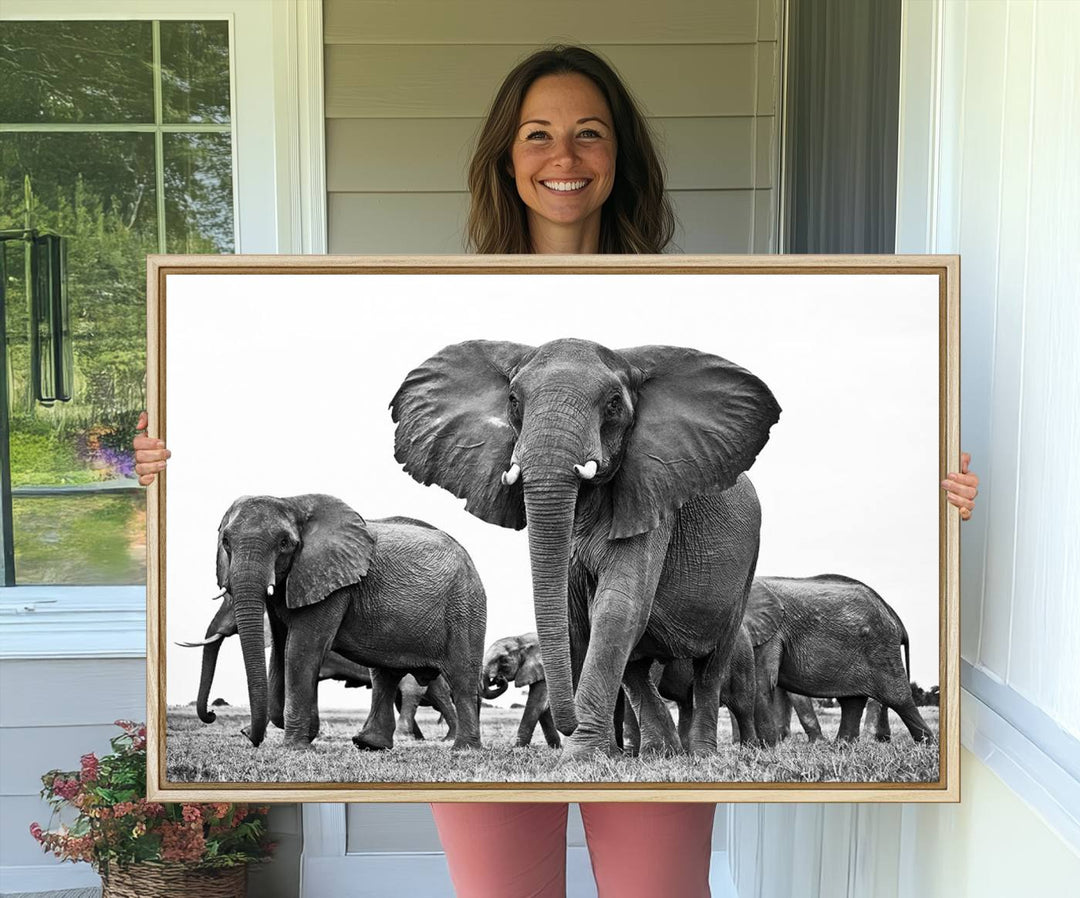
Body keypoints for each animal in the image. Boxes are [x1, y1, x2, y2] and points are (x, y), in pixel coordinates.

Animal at [214, 499, 486, 752]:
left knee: (461, 677)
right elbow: (282, 649)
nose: (250, 737)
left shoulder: (332, 583)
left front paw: (297, 747)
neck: (294, 504)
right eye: (225, 541)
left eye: (283, 543)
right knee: (385, 675)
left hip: (464, 607)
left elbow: (301, 650)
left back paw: (463, 748)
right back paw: (369, 744)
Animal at [393, 341, 781, 756]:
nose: (571, 722)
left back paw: (699, 752)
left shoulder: (652, 498)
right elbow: (575, 616)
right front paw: (601, 752)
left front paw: (582, 755)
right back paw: (660, 751)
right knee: (637, 668)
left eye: (613, 404)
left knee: (710, 669)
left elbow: (617, 606)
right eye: (513, 400)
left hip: (746, 571)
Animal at [747, 574, 933, 743]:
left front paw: (766, 747)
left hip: (882, 648)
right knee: (852, 701)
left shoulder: (771, 632)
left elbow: (762, 683)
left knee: (898, 698)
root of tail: (892, 613)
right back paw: (842, 746)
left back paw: (926, 745)